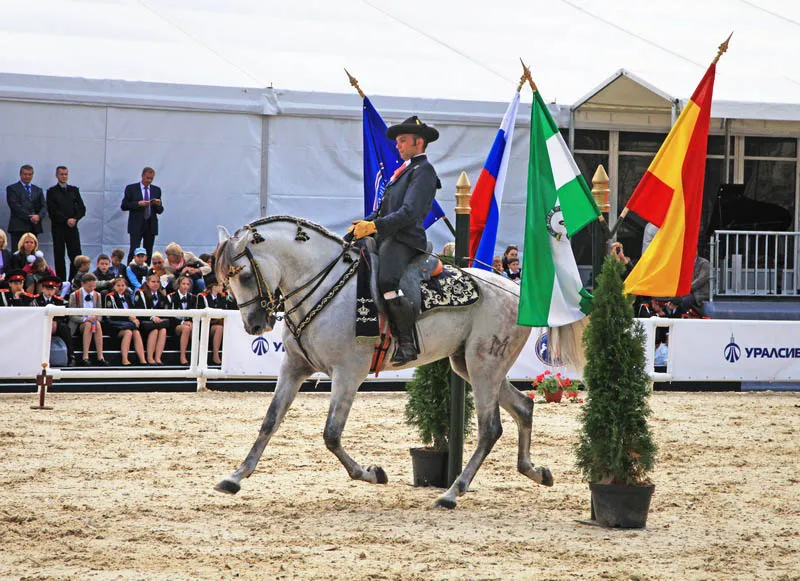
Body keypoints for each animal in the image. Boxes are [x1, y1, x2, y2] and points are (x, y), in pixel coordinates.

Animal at [212, 218, 564, 508]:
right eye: (227, 281)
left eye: (245, 276)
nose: (254, 325)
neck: (323, 285)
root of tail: (515, 289)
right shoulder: (294, 367)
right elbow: (269, 422)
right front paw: (235, 477)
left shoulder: (348, 373)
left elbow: (331, 434)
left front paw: (371, 473)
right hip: (469, 365)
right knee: (524, 407)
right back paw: (535, 472)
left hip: (483, 366)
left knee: (490, 429)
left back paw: (452, 493)